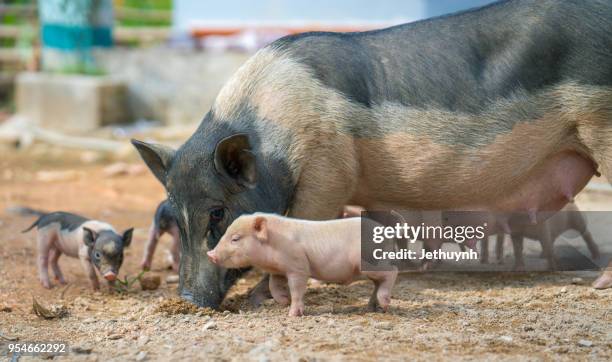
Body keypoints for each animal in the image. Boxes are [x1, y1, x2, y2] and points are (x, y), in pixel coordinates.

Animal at [131, 0, 612, 306]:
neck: (272, 137)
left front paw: (259, 299)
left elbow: (299, 223)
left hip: (600, 123)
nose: (190, 298)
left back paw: (598, 286)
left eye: (217, 211)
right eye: (175, 214)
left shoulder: (329, 171)